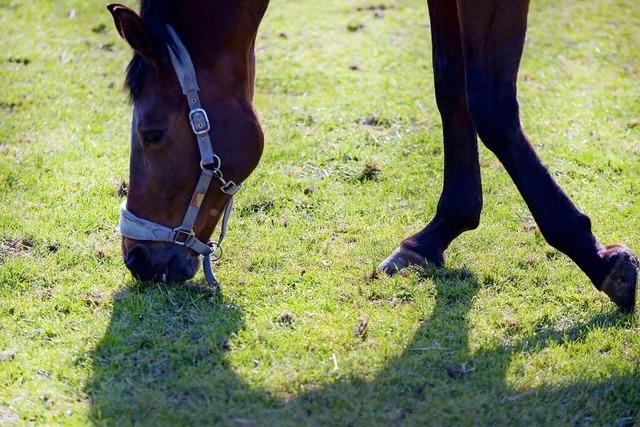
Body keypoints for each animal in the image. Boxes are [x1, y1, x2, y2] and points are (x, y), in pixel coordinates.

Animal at [109, 0, 636, 310]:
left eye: (152, 133)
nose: (136, 257)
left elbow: (490, 105)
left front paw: (597, 258)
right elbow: (451, 87)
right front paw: (436, 234)